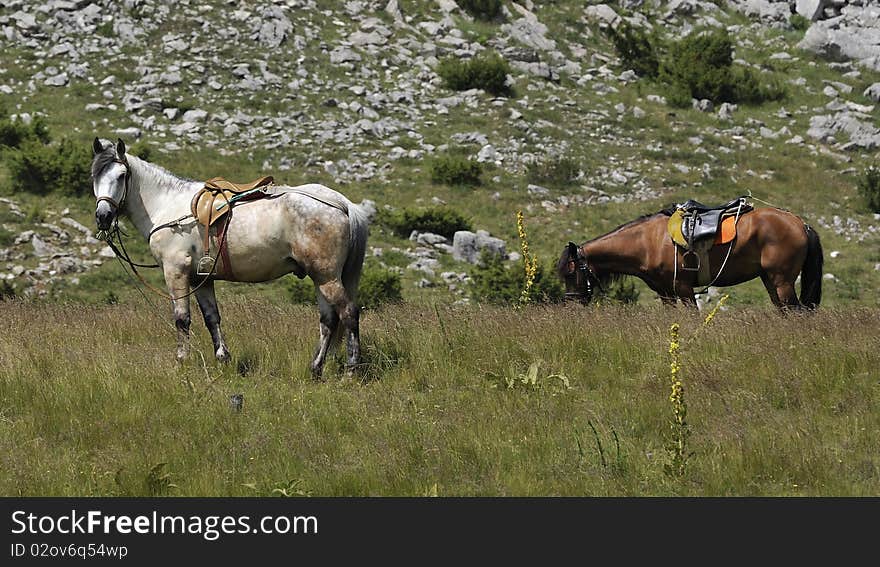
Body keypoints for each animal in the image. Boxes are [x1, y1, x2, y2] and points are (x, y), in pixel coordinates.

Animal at [94, 137, 370, 378]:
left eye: (121, 176)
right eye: (95, 176)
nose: (103, 216)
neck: (167, 206)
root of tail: (342, 203)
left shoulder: (176, 271)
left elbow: (182, 319)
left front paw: (182, 362)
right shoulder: (200, 279)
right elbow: (211, 318)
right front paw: (223, 359)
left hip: (327, 276)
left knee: (349, 313)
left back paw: (351, 370)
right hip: (320, 277)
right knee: (328, 320)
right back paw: (315, 368)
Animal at [556, 205, 824, 310]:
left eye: (571, 272)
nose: (571, 304)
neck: (647, 242)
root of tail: (801, 224)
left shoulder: (683, 287)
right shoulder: (665, 292)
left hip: (782, 282)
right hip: (770, 281)